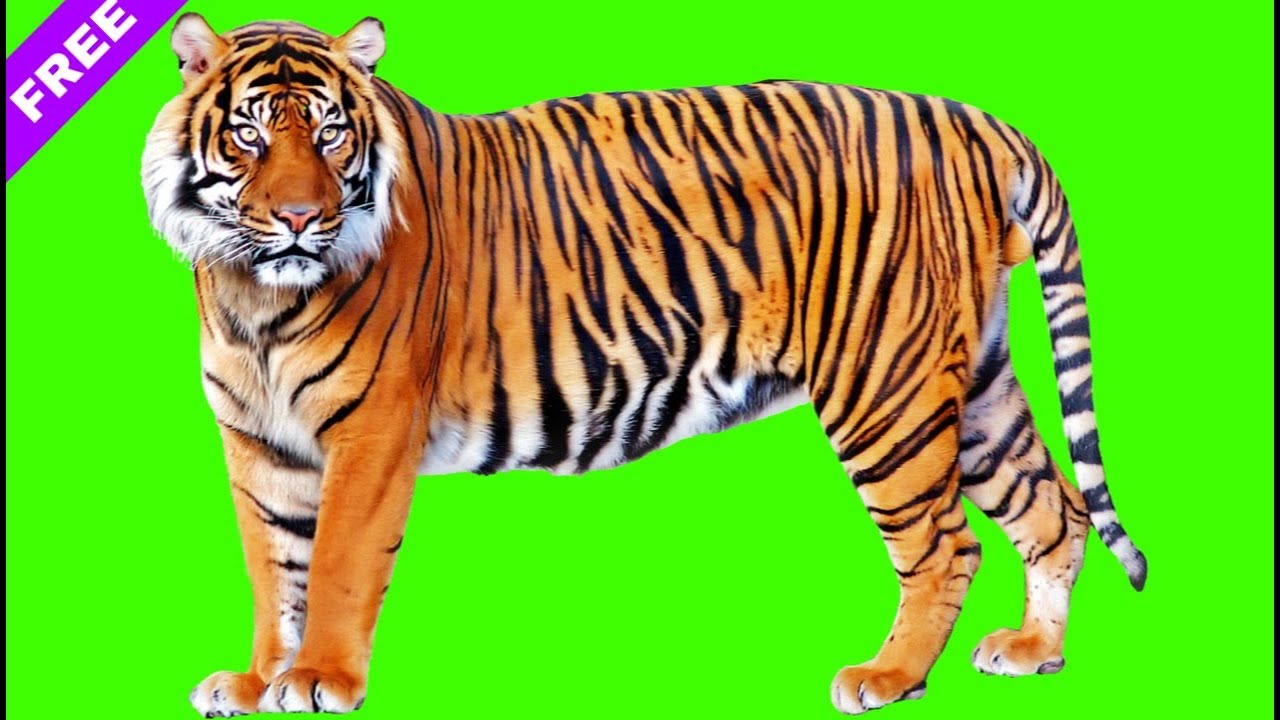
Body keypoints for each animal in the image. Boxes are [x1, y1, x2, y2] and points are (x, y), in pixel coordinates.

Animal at [141, 13, 1147, 717]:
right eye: (250, 135)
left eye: (331, 136)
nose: (301, 219)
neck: (253, 297)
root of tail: (972, 118)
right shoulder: (259, 443)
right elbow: (274, 569)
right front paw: (259, 679)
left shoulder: (372, 430)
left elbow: (338, 564)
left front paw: (320, 681)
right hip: (971, 385)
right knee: (1052, 509)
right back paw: (1034, 653)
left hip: (885, 389)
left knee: (946, 544)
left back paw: (889, 677)